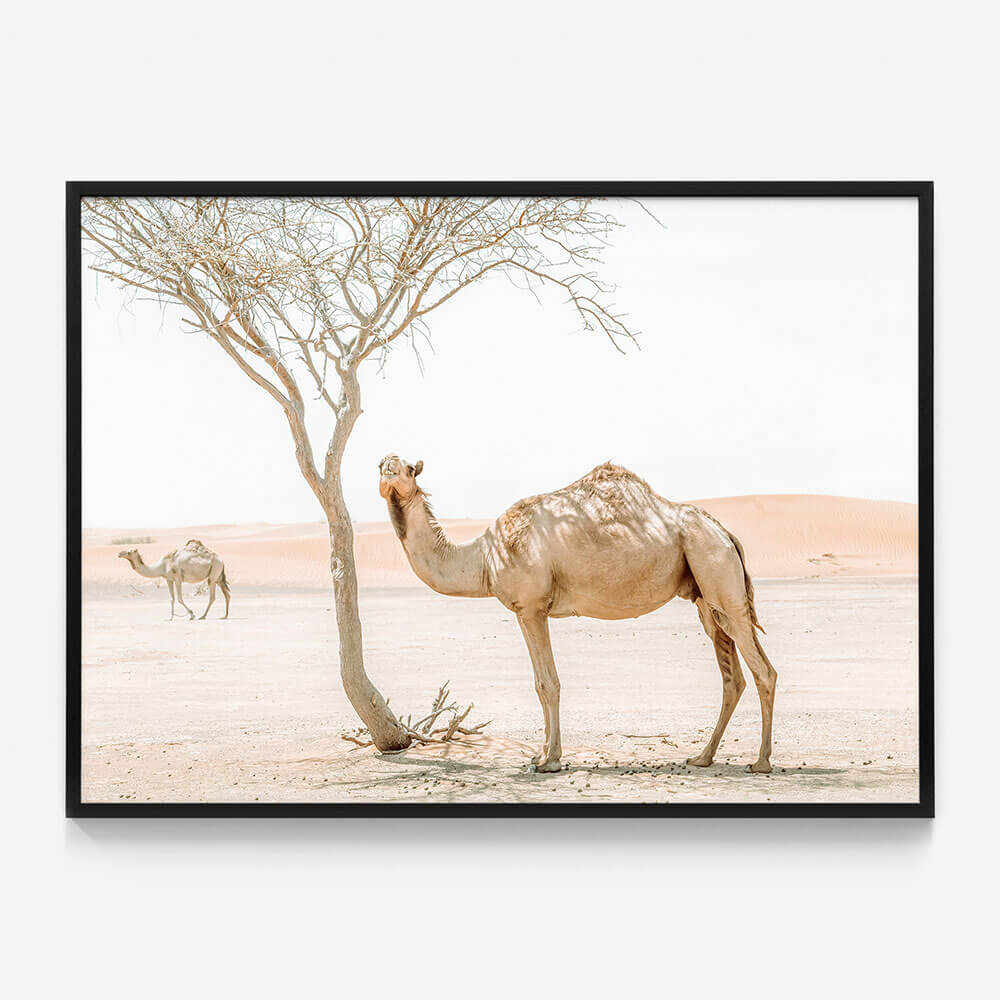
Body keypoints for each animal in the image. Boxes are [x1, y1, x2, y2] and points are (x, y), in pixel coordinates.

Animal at [379, 455, 777, 774]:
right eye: (381, 463)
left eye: (406, 468)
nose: (387, 472)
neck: (484, 557)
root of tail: (725, 532)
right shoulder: (525, 610)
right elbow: (539, 684)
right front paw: (540, 754)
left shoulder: (533, 606)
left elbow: (548, 684)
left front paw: (550, 761)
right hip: (706, 594)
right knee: (732, 675)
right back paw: (702, 757)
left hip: (716, 570)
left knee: (763, 671)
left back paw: (761, 762)